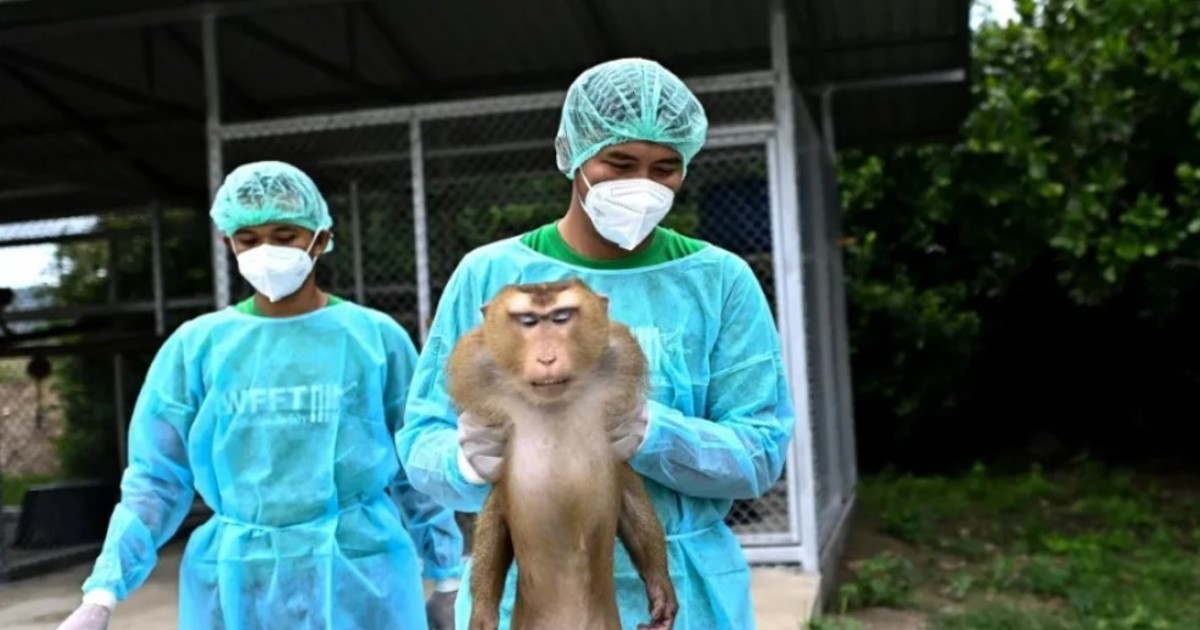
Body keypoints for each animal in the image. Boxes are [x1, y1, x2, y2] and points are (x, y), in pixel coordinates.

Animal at [447, 277, 678, 630]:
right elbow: (497, 509)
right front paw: (483, 613)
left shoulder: (618, 364)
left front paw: (660, 589)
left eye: (561, 317)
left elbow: (625, 485)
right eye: (528, 321)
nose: (547, 358)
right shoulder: (478, 376)